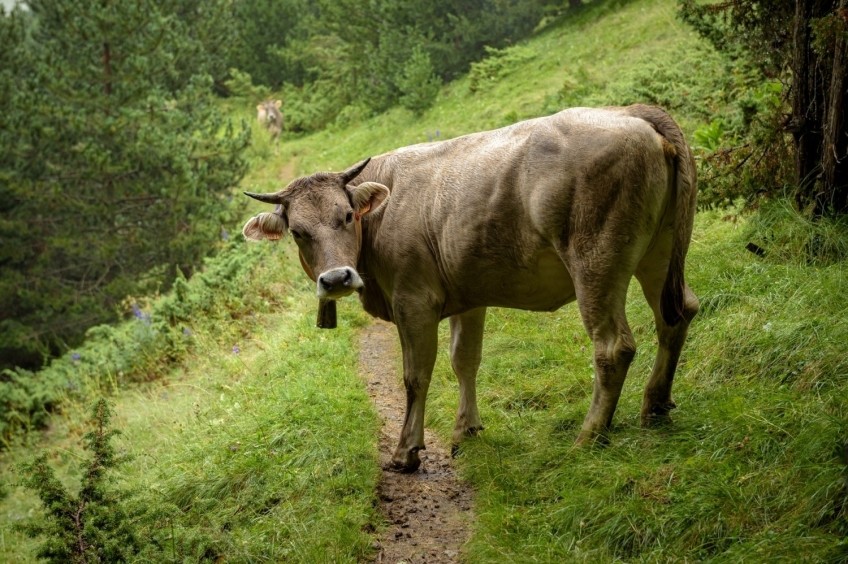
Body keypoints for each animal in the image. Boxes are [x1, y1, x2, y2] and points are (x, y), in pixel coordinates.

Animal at [242, 104, 700, 472]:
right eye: (298, 232)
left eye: (348, 215)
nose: (337, 278)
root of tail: (630, 112)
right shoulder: (468, 296)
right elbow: (465, 361)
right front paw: (467, 430)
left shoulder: (413, 301)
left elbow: (416, 376)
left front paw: (407, 451)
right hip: (659, 253)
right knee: (678, 314)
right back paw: (655, 406)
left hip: (596, 261)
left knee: (613, 347)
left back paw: (589, 437)